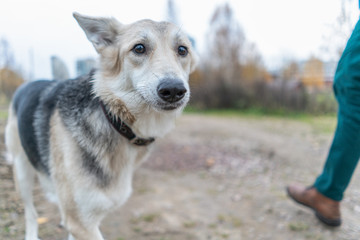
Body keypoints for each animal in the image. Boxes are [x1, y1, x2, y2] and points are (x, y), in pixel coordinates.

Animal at [3, 12, 197, 239]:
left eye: (182, 50)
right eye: (139, 48)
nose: (174, 90)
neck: (114, 119)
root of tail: (29, 83)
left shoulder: (85, 219)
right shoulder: (80, 222)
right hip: (22, 172)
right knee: (31, 213)